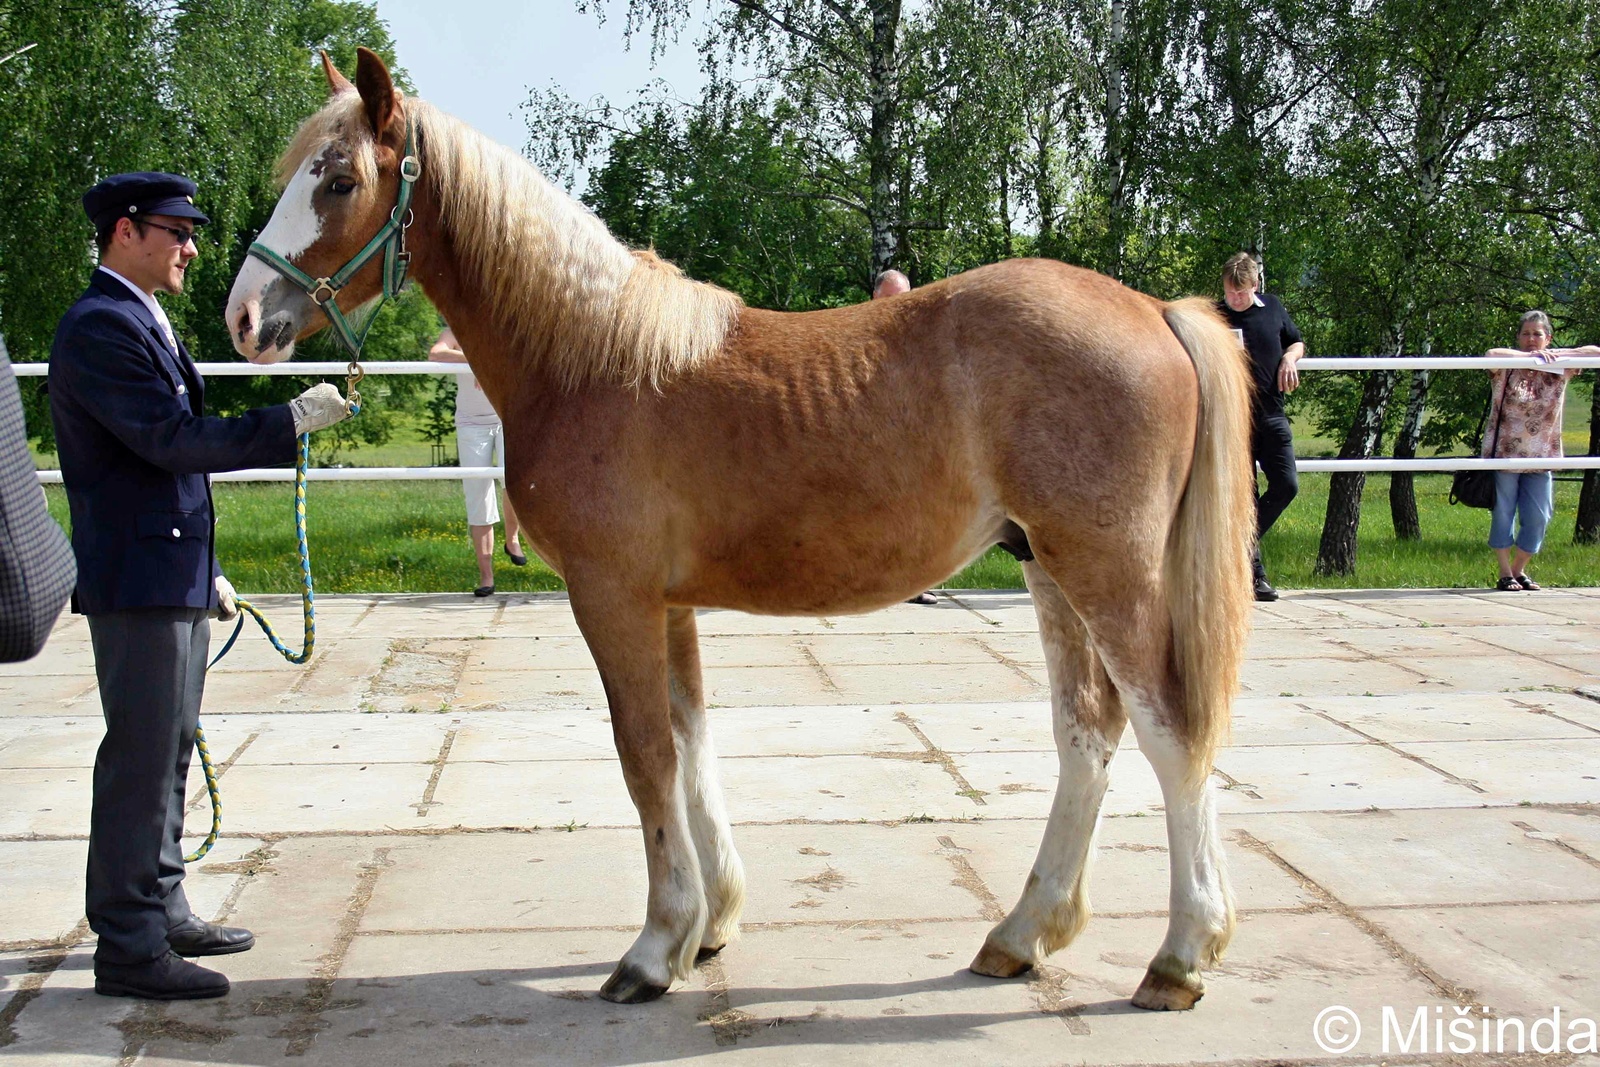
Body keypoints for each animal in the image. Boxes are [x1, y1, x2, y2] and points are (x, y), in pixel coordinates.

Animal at [225, 47, 1254, 1011]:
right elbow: (691, 747)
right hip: (1048, 566)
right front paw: (710, 924)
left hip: (1105, 570)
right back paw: (1022, 933)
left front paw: (653, 949)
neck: (589, 358)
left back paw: (1180, 954)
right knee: (1087, 731)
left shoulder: (612, 596)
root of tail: (1155, 310)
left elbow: (644, 756)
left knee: (1172, 732)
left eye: (339, 180)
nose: (244, 317)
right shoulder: (668, 605)